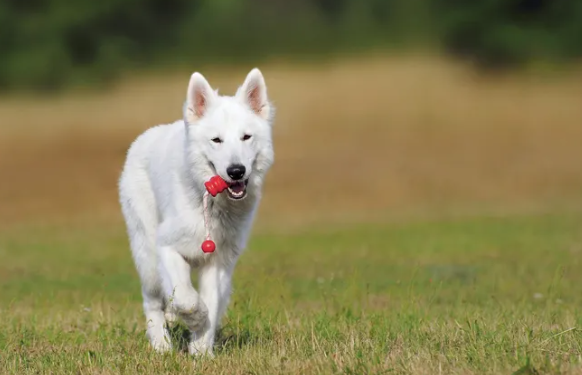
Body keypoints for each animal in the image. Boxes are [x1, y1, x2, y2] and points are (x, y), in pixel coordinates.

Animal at [118, 68, 276, 358]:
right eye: (216, 140)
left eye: (246, 137)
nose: (236, 171)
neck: (212, 204)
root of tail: (143, 138)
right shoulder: (167, 247)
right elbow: (187, 298)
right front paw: (195, 320)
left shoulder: (218, 262)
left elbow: (210, 302)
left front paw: (201, 350)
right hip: (147, 255)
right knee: (152, 301)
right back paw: (161, 344)